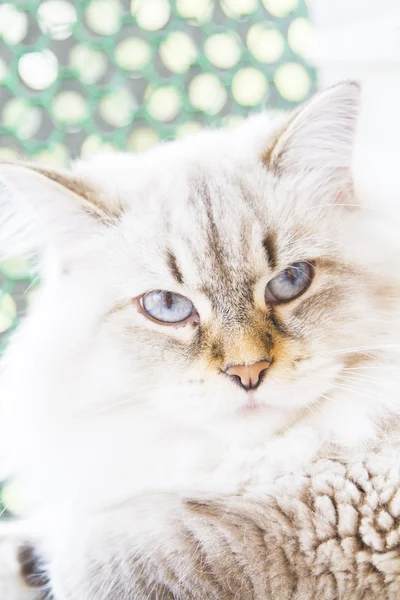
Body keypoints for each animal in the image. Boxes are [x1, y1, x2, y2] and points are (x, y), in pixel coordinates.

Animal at [0, 81, 400, 600]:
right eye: (167, 306)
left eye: (289, 281)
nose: (248, 371)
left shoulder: (339, 512)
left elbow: (107, 554)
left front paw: (43, 554)